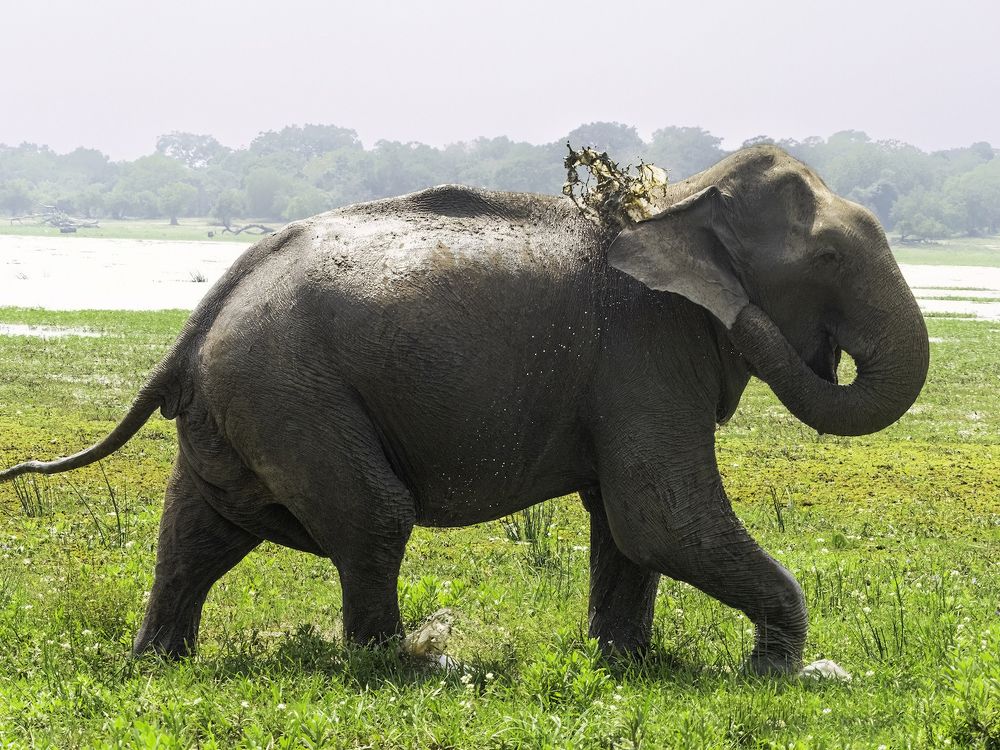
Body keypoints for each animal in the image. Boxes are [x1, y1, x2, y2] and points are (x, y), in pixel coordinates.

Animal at [0, 145, 928, 675]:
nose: (803, 341)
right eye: (830, 256)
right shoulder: (646, 350)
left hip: (247, 405)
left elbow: (627, 526)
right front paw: (774, 672)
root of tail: (201, 318)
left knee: (199, 531)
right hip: (292, 391)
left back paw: (160, 663)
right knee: (372, 518)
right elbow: (663, 517)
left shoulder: (635, 372)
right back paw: (408, 667)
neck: (681, 204)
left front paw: (628, 665)